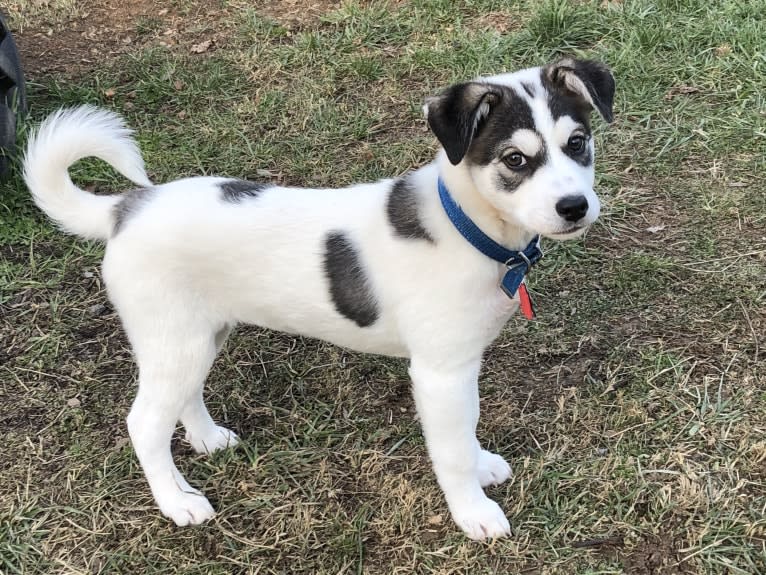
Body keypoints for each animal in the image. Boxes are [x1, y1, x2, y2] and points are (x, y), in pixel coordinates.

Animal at [21, 57, 616, 540]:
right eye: (515, 160)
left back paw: (207, 438)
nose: (574, 207)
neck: (466, 224)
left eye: (577, 143)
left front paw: (482, 465)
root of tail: (124, 209)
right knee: (144, 423)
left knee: (179, 400)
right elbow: (450, 450)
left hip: (196, 336)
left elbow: (466, 431)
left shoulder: (461, 365)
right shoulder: (440, 371)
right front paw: (473, 512)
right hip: (174, 338)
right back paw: (177, 502)